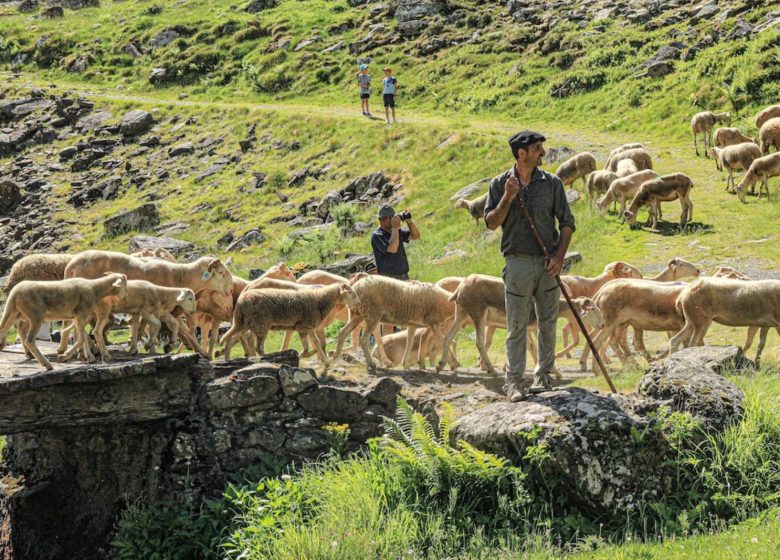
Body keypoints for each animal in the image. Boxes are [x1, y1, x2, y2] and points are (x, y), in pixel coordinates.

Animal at [0, 274, 128, 370]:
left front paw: (88, 357)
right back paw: (47, 364)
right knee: (30, 340)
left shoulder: (77, 317)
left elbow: (82, 336)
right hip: (35, 315)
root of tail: (13, 293)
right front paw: (64, 356)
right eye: (125, 284)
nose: (124, 297)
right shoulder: (81, 314)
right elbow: (81, 337)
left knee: (3, 332)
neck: (94, 288)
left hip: (14, 314)